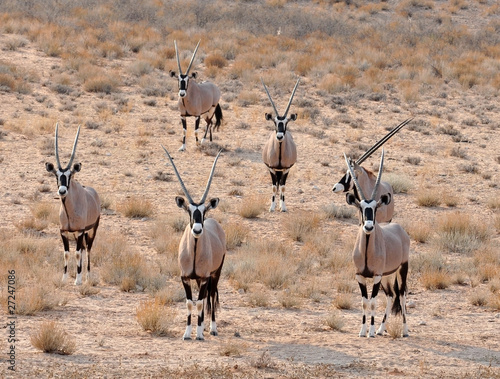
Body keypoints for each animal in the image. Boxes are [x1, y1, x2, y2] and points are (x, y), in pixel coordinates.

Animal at [46, 124, 101, 284]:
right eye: (56, 175)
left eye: (70, 175)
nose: (62, 191)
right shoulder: (64, 231)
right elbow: (67, 253)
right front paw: (64, 279)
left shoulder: (81, 230)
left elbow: (77, 253)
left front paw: (78, 280)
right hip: (78, 234)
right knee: (82, 249)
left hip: (92, 230)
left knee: (87, 249)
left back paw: (87, 276)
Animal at [161, 146, 226, 342]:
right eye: (189, 211)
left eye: (204, 211)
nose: (197, 230)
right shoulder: (185, 278)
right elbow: (191, 303)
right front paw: (188, 333)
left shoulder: (205, 277)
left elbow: (199, 303)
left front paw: (198, 334)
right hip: (199, 279)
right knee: (203, 300)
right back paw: (203, 327)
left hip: (215, 274)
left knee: (210, 296)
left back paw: (211, 329)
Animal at [262, 78, 300, 212]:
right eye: (275, 122)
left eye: (286, 122)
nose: (279, 137)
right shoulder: (271, 169)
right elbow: (274, 187)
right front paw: (272, 207)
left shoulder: (286, 169)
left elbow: (283, 187)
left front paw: (283, 207)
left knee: (281, 185)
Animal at [344, 150, 410, 340]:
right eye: (361, 207)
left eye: (375, 208)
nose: (368, 227)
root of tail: (400, 229)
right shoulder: (360, 275)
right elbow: (365, 302)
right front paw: (363, 330)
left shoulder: (376, 276)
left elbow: (372, 302)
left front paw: (371, 332)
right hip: (388, 275)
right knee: (390, 295)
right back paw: (382, 328)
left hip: (402, 269)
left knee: (401, 295)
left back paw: (404, 330)